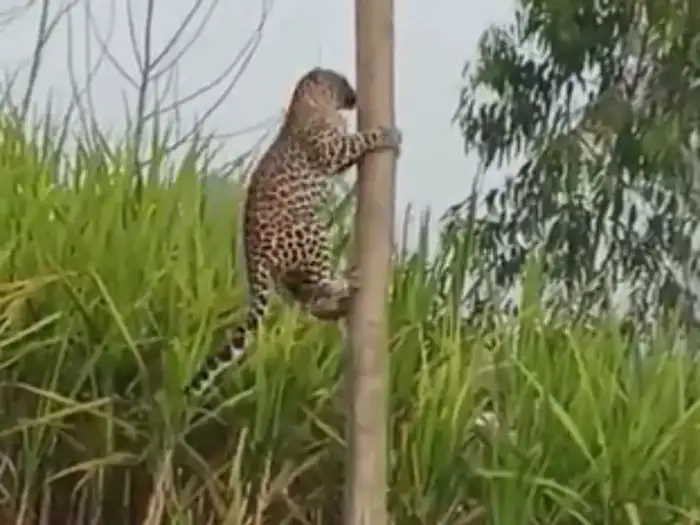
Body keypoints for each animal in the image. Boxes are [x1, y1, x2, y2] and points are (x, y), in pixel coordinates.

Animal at [185, 67, 402, 397]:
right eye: (342, 82)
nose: (355, 96)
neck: (314, 103)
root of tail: (254, 259)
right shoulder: (331, 149)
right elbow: (358, 141)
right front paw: (387, 134)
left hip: (292, 275)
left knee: (309, 301)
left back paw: (338, 305)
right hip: (310, 229)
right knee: (317, 287)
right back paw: (345, 283)